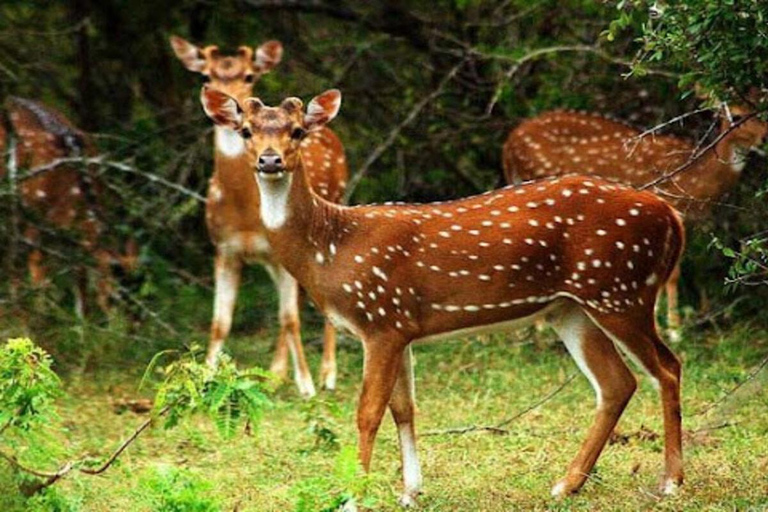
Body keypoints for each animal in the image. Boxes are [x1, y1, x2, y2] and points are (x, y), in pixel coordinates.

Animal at [0, 97, 138, 316]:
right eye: (113, 299)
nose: (128, 325)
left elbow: (80, 279)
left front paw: (82, 320)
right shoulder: (33, 215)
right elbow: (38, 272)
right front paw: (37, 314)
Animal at [172, 37, 350, 396]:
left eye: (250, 76)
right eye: (206, 76)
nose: (232, 105)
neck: (244, 214)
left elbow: (290, 318)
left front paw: (307, 386)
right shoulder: (224, 249)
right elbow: (220, 322)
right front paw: (207, 375)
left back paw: (327, 374)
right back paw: (277, 374)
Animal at [201, 86, 688, 506]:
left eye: (298, 130)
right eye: (246, 130)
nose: (269, 160)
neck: (330, 248)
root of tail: (673, 217)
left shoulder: (379, 318)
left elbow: (368, 412)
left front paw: (353, 498)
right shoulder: (400, 327)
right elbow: (405, 408)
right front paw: (410, 491)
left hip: (620, 290)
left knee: (667, 367)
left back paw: (670, 481)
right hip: (573, 307)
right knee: (617, 383)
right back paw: (566, 484)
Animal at [504, 104, 768, 338]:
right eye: (736, 116)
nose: (764, 139)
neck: (698, 182)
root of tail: (509, 144)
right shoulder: (667, 204)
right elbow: (672, 274)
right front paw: (674, 330)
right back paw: (539, 331)